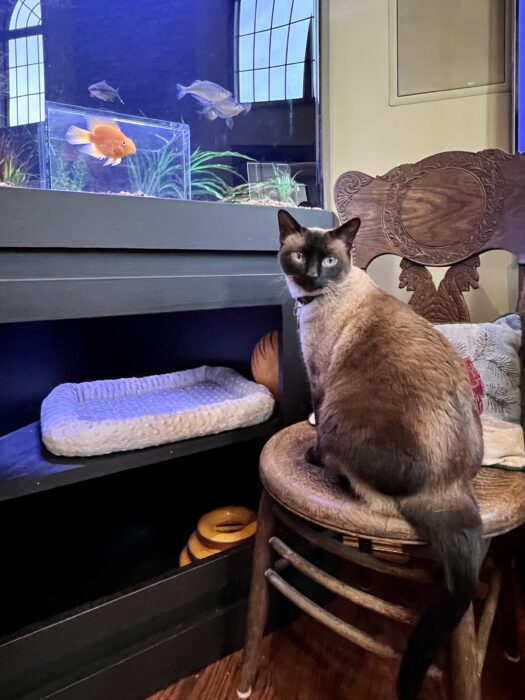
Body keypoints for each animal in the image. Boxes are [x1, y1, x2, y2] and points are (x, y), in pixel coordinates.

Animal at [278, 209, 484, 700]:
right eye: (299, 256)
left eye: (329, 261)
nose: (312, 276)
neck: (321, 299)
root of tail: (449, 487)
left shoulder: (320, 382)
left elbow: (314, 421)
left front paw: (312, 456)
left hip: (339, 410)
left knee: (359, 484)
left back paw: (330, 468)